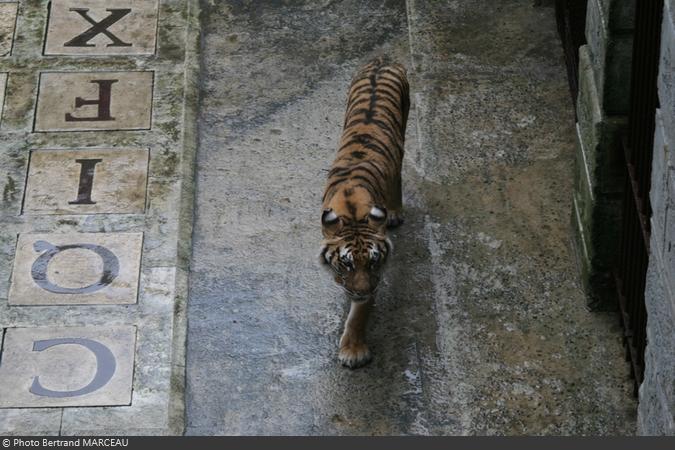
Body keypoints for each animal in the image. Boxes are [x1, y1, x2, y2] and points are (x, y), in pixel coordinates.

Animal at [322, 57, 412, 370]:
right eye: (346, 263)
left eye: (373, 262)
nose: (362, 291)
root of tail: (383, 59)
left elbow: (359, 315)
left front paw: (353, 351)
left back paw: (395, 211)